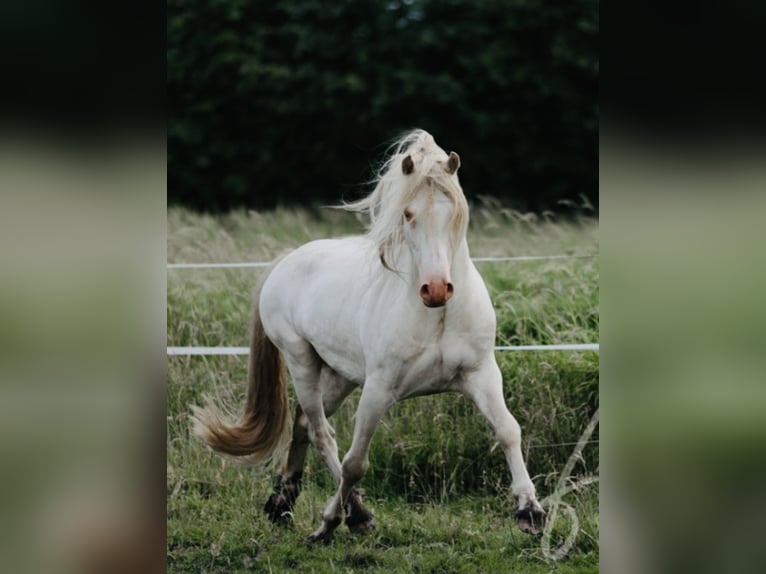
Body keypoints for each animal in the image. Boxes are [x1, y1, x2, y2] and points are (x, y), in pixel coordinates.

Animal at [195, 130, 548, 544]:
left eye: (455, 214)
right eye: (408, 214)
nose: (436, 289)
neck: (438, 317)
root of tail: (287, 259)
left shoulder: (482, 375)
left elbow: (508, 430)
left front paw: (530, 511)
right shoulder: (378, 390)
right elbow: (356, 462)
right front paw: (330, 522)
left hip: (341, 375)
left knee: (303, 426)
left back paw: (282, 504)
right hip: (302, 362)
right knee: (321, 434)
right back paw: (355, 513)